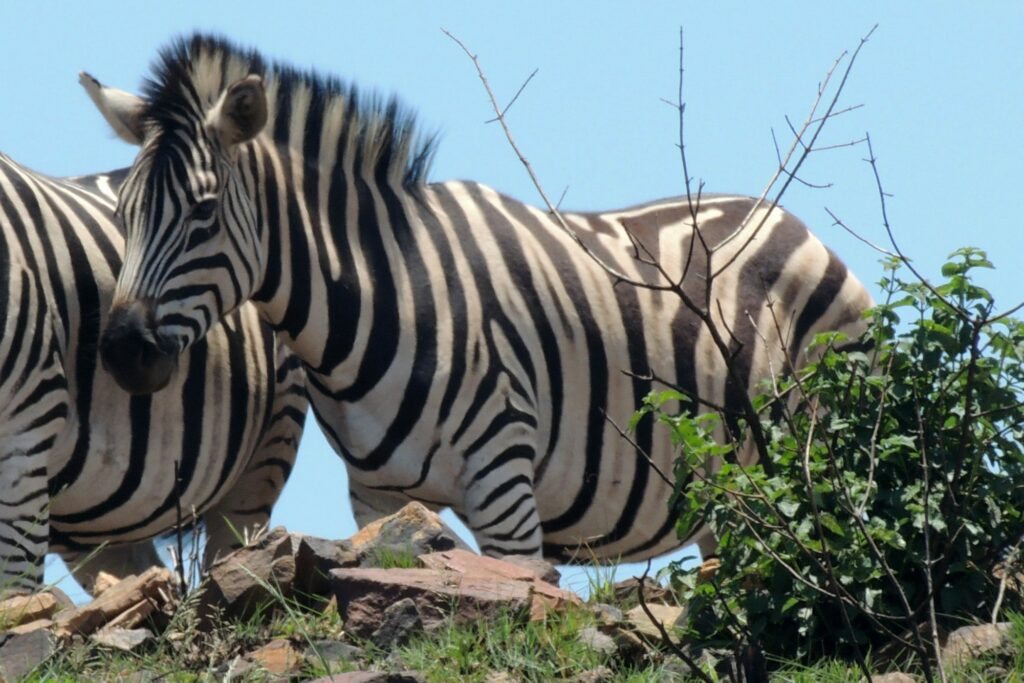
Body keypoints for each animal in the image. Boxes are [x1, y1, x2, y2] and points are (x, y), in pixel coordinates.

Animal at [83, 34, 872, 563]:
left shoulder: (505, 486)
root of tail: (787, 218)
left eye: (203, 212)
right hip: (733, 494)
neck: (386, 291)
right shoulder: (377, 498)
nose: (120, 352)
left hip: (813, 447)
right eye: (124, 212)